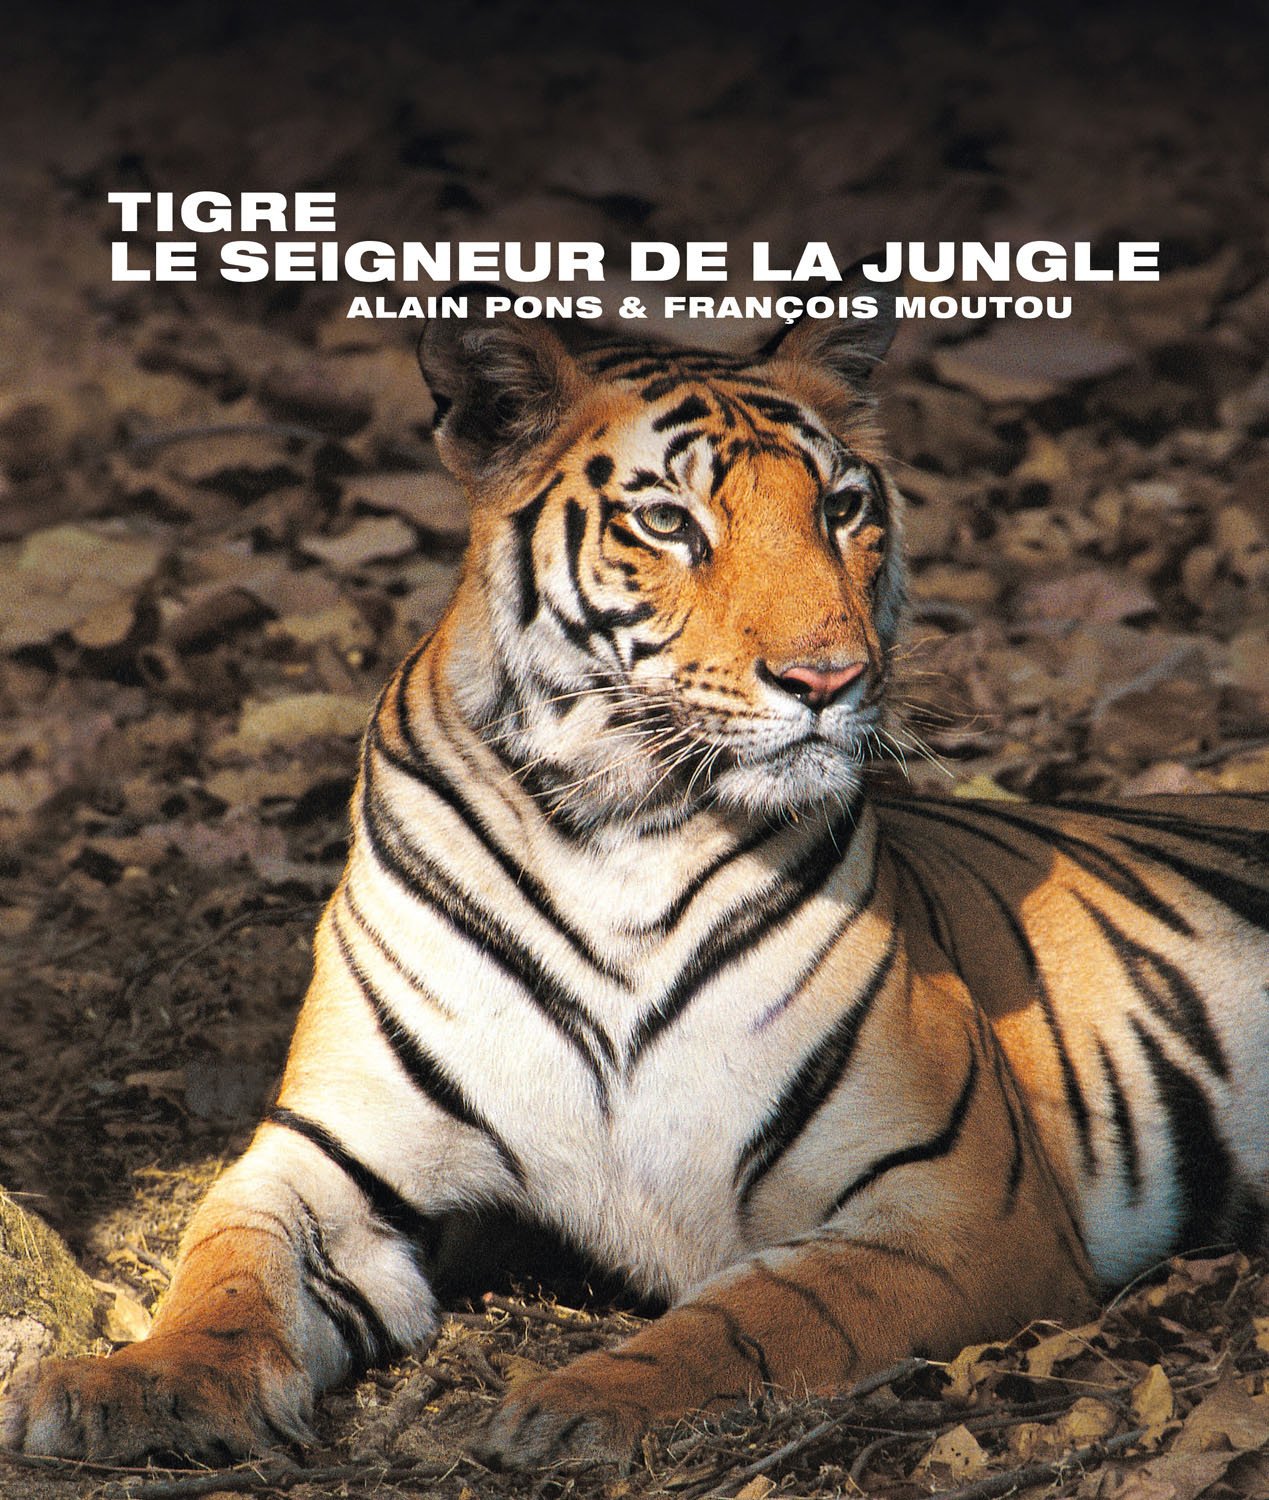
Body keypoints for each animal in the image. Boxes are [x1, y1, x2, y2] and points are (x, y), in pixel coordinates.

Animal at [4, 275, 1268, 1471]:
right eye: (668, 520)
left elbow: (764, 1311)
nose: (831, 678)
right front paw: (141, 1387)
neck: (618, 825)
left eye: (842, 507)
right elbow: (228, 1264)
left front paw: (579, 1404)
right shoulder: (329, 1154)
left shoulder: (954, 1195)